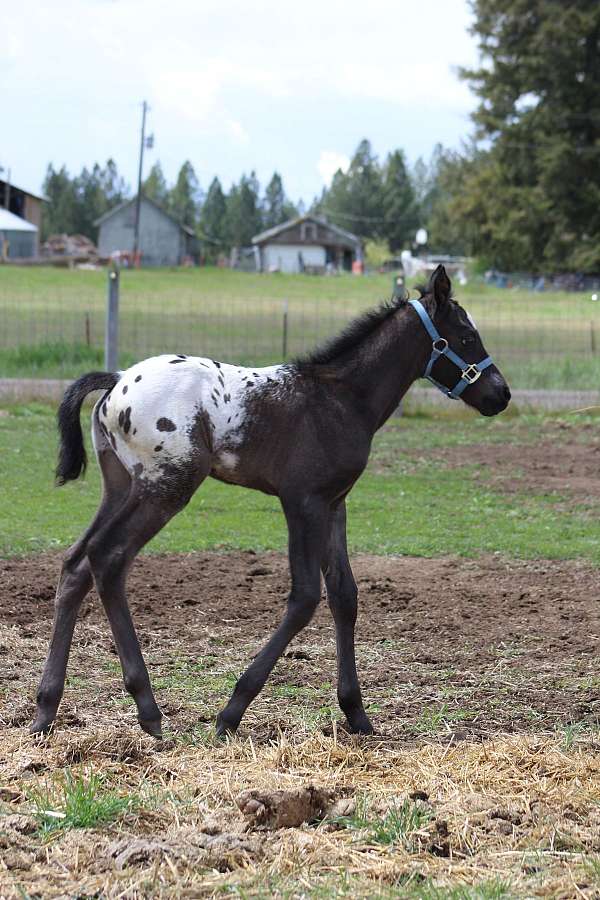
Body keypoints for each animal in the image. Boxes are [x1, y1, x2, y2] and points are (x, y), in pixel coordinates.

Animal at [31, 265, 510, 739]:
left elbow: (345, 594)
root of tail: (116, 381)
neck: (339, 399)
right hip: (166, 487)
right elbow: (305, 596)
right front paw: (231, 712)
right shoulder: (303, 501)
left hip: (120, 487)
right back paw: (146, 707)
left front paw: (356, 713)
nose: (501, 394)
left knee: (76, 564)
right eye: (466, 336)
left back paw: (46, 710)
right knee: (108, 557)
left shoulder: (335, 504)